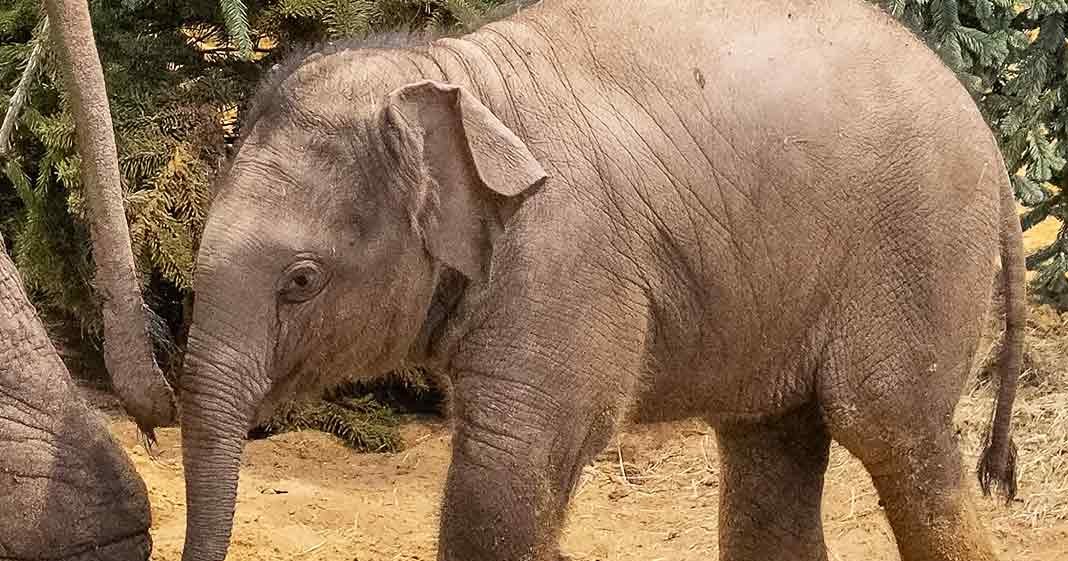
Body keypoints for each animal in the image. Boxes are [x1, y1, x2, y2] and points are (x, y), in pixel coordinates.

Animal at [172, 1, 1027, 560]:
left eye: (301, 279)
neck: (449, 72)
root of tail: (987, 136)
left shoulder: (566, 255)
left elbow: (507, 473)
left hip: (918, 247)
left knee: (894, 434)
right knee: (770, 452)